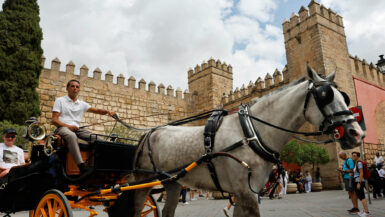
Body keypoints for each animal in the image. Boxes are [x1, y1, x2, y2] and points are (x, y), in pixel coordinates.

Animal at [108, 65, 364, 217]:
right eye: (325, 96)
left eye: (345, 96)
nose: (356, 133)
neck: (252, 132)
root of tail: (148, 133)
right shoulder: (247, 193)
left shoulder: (246, 193)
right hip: (143, 183)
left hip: (172, 183)